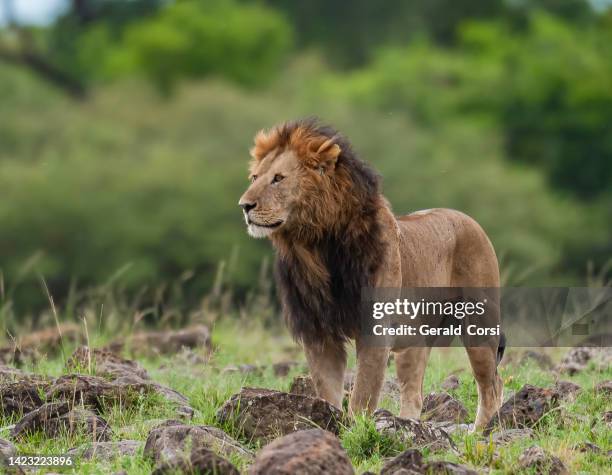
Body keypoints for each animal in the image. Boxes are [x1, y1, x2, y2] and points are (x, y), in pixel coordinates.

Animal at [239, 120, 502, 432]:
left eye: (278, 178)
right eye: (255, 177)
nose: (244, 205)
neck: (316, 246)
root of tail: (470, 220)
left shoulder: (375, 328)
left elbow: (363, 393)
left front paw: (356, 432)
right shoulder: (319, 331)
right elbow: (328, 390)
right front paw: (327, 426)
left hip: (478, 325)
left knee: (492, 385)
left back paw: (481, 432)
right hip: (415, 338)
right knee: (414, 393)